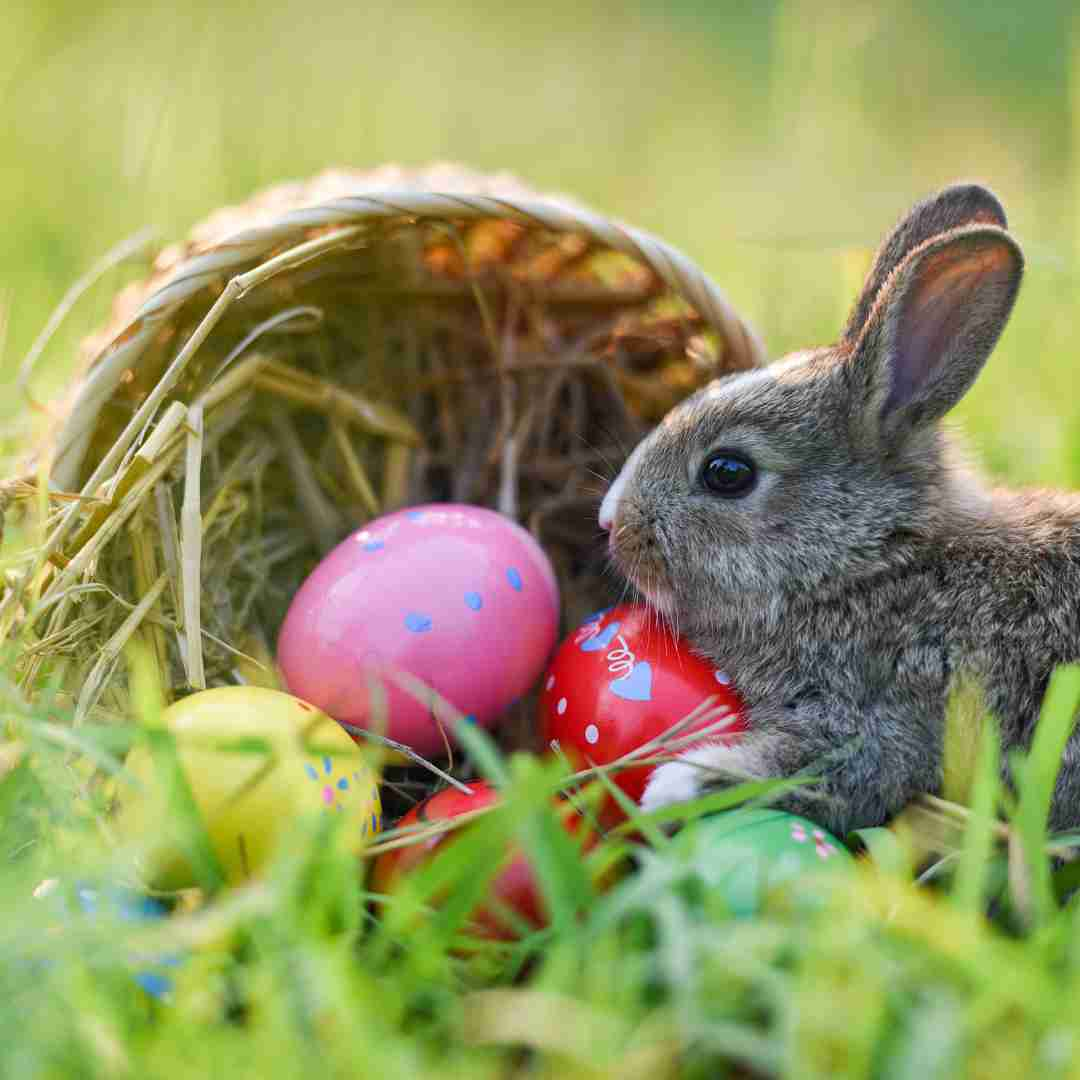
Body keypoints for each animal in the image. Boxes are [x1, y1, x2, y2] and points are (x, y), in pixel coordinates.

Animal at [600, 183, 1080, 833]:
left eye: (728, 473)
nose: (611, 523)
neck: (874, 565)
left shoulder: (884, 714)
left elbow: (833, 769)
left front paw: (673, 788)